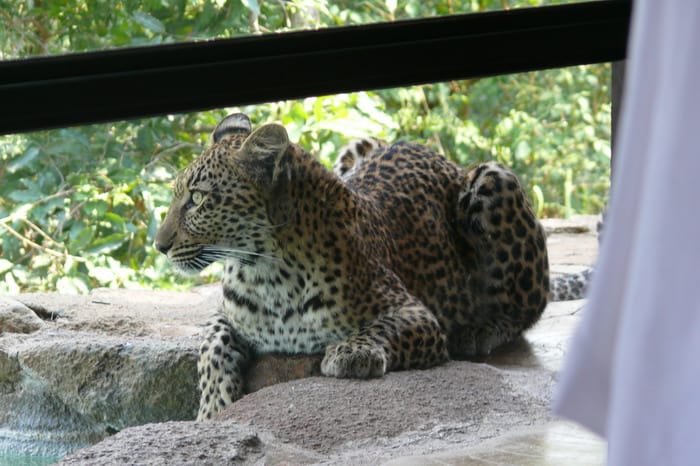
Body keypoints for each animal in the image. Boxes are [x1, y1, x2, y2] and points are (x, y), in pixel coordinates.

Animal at [157, 114, 552, 422]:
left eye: (197, 198)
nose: (160, 246)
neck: (264, 273)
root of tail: (439, 156)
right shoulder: (225, 313)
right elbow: (211, 345)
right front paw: (212, 406)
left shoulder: (416, 314)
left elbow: (383, 326)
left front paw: (351, 352)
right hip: (355, 147)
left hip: (493, 179)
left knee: (530, 303)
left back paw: (481, 330)